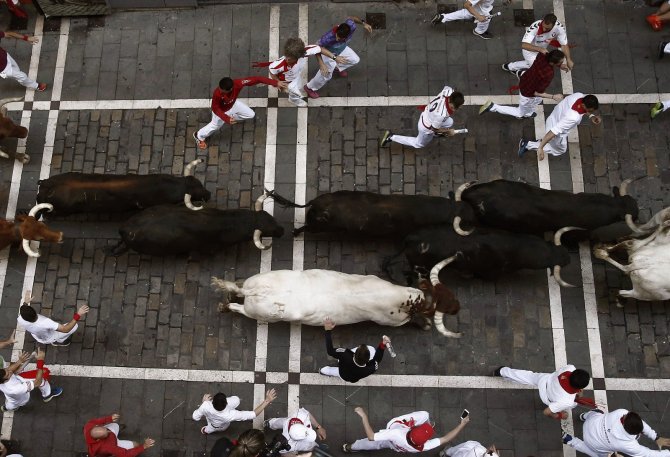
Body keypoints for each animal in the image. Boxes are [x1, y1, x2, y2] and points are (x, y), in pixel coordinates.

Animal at [213, 268, 464, 336]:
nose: (458, 307)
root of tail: (257, 291)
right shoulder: (390, 322)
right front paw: (425, 325)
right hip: (260, 313)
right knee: (239, 308)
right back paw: (226, 306)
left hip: (259, 282)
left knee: (237, 290)